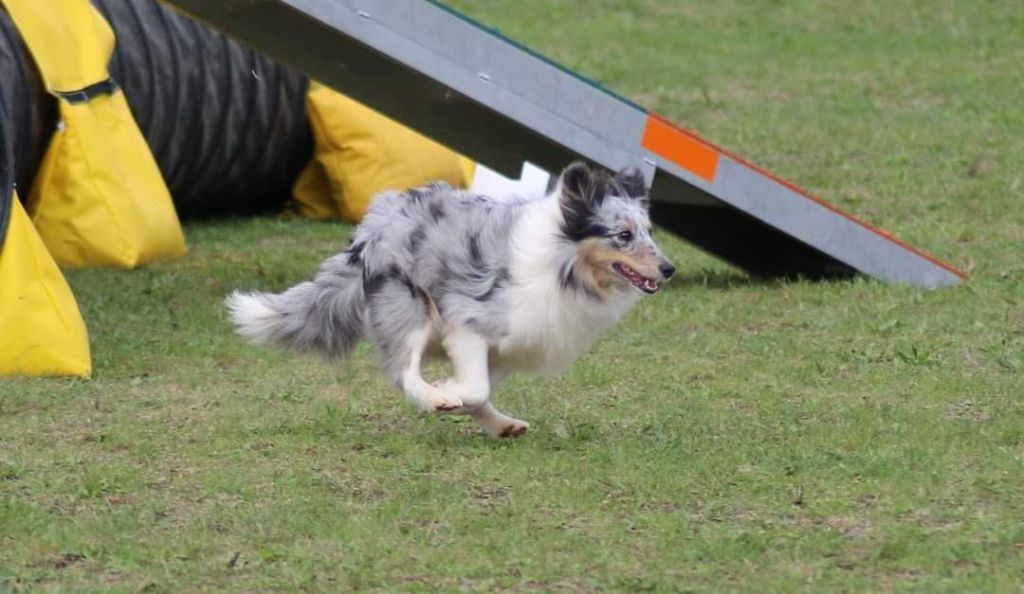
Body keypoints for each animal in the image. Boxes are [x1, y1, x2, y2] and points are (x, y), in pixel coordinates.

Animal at [226, 162, 671, 436]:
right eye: (623, 235)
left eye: (649, 231)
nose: (669, 269)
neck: (565, 267)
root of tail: (371, 227)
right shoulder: (468, 324)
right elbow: (473, 389)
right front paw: (446, 392)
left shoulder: (513, 347)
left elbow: (482, 392)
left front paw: (486, 415)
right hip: (409, 308)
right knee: (402, 370)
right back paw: (434, 396)